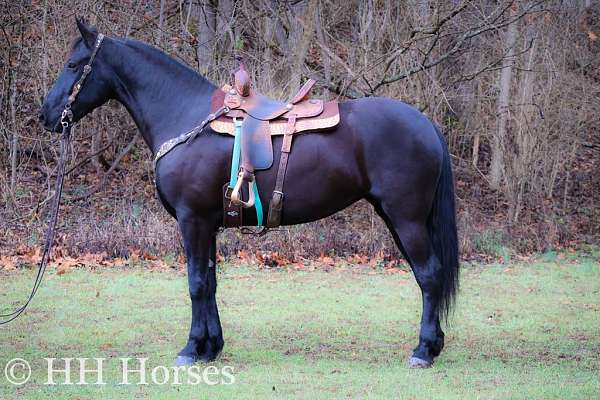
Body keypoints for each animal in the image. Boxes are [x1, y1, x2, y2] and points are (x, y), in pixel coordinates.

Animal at [38, 18, 460, 368]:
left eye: (74, 65)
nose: (46, 114)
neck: (185, 116)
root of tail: (425, 124)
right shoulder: (206, 224)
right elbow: (209, 282)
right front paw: (210, 347)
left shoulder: (192, 221)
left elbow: (195, 282)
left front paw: (191, 349)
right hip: (397, 218)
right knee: (427, 276)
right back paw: (434, 344)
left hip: (406, 218)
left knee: (429, 275)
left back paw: (423, 350)